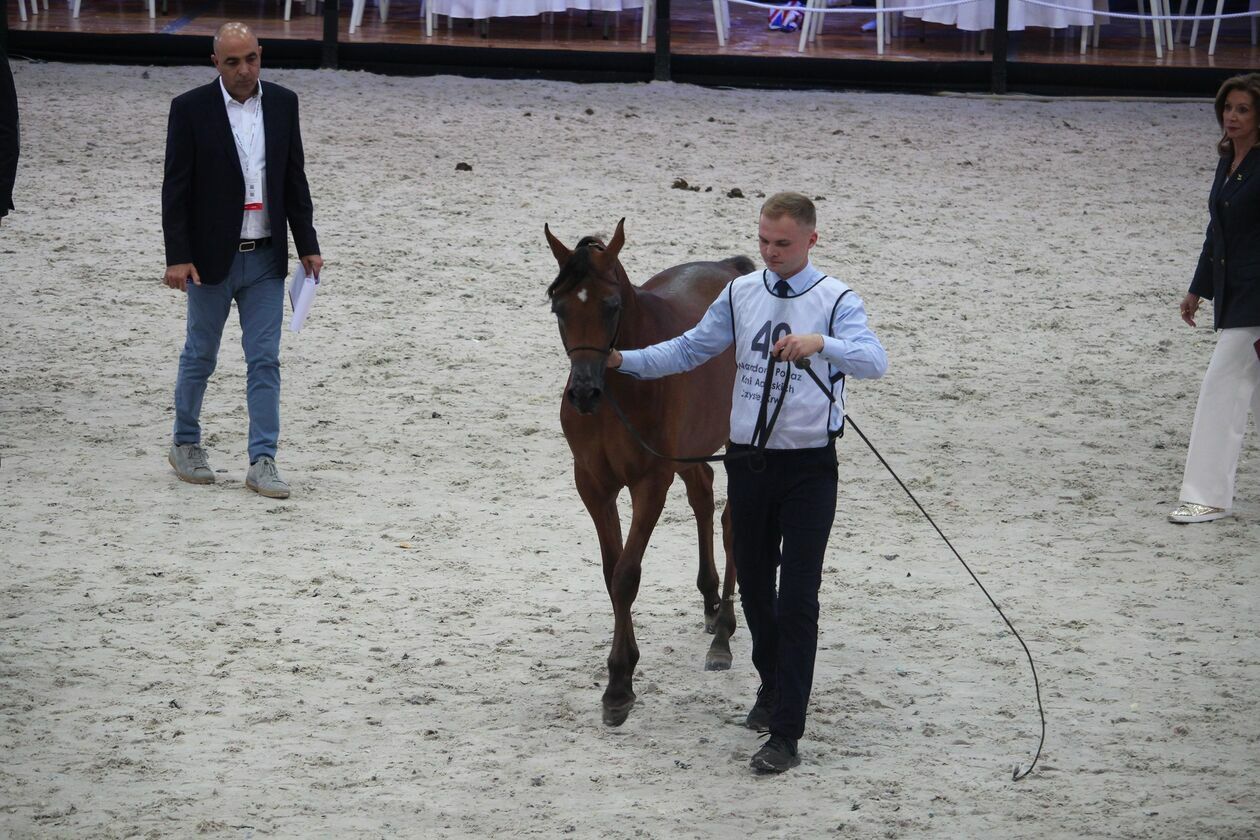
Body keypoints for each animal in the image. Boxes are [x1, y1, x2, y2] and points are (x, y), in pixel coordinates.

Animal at [546, 220, 750, 725]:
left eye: (611, 305)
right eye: (558, 307)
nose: (584, 392)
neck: (619, 393)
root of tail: (730, 269)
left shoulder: (649, 483)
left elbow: (627, 576)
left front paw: (619, 684)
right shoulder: (593, 485)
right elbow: (610, 572)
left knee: (731, 523)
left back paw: (724, 632)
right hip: (690, 452)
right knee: (702, 497)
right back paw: (709, 601)